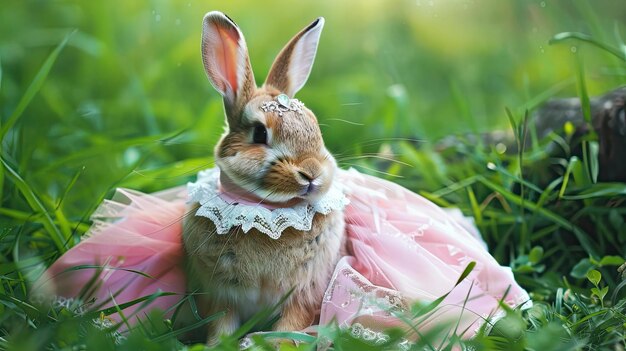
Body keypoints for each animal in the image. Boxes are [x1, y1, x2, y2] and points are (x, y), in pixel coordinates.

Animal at [180, 10, 346, 344]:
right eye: (259, 133)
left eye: (314, 126)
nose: (312, 173)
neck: (264, 213)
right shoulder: (219, 296)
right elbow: (222, 325)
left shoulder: (304, 294)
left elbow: (290, 326)